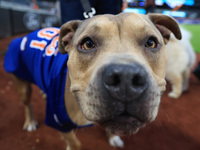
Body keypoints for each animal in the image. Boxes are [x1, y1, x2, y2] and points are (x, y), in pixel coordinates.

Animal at [3, 13, 181, 150]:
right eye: (87, 44)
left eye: (151, 42)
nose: (126, 78)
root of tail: (25, 36)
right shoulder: (60, 124)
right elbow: (75, 144)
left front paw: (112, 138)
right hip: (21, 84)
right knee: (27, 104)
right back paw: (30, 121)